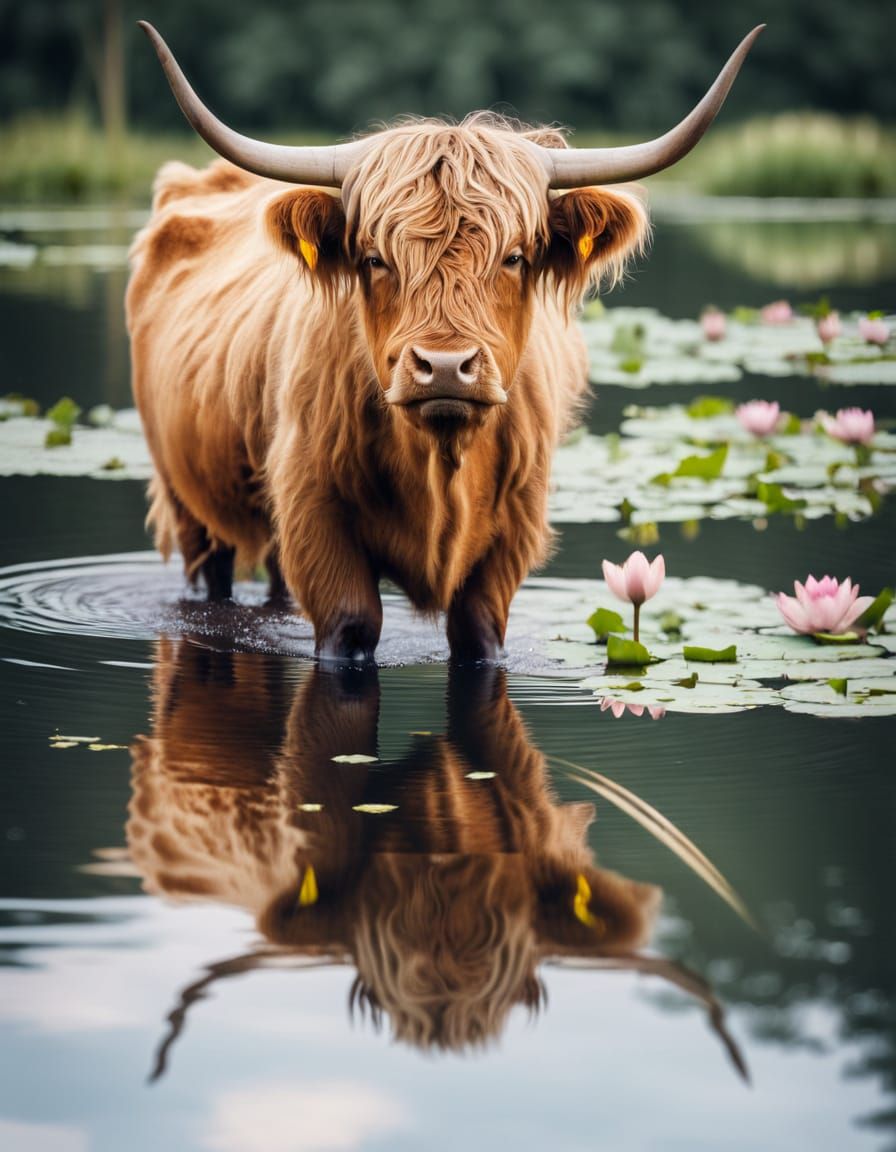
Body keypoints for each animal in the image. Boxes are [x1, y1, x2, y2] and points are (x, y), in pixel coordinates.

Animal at [127, 23, 763, 660]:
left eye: (514, 257)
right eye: (375, 259)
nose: (446, 366)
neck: (441, 460)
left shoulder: (511, 534)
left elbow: (478, 632)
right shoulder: (316, 515)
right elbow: (351, 623)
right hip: (188, 498)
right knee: (212, 576)